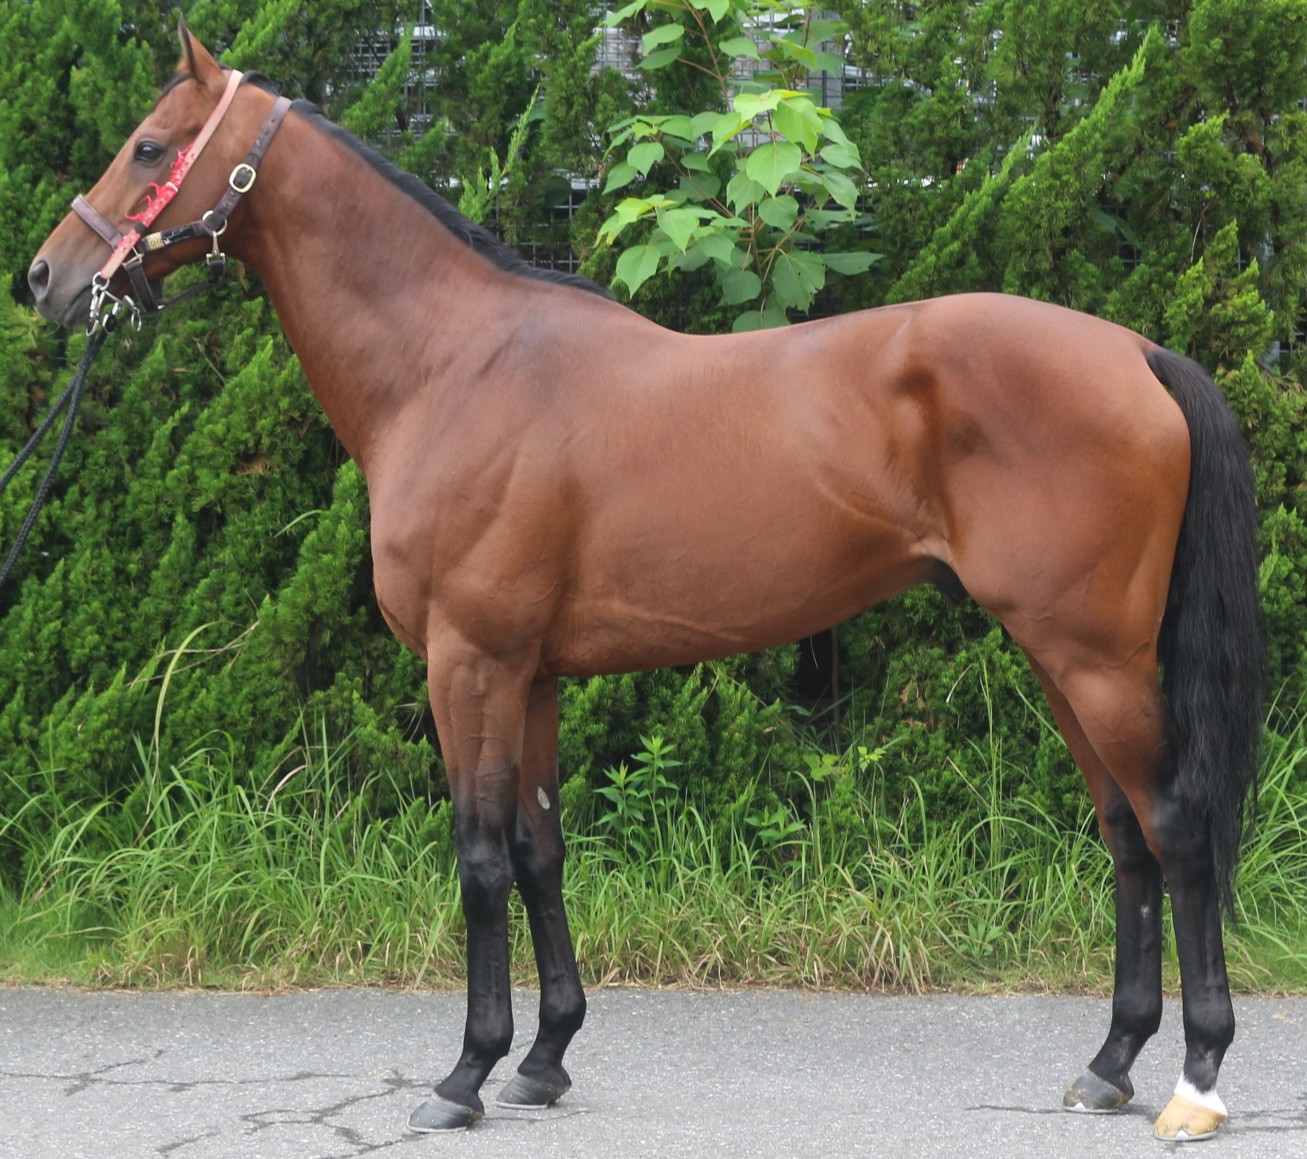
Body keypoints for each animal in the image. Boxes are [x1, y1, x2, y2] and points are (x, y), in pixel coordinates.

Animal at [28, 20, 1262, 1142]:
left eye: (148, 146)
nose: (48, 276)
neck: (452, 365)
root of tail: (1134, 353)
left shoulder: (468, 662)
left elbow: (479, 859)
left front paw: (464, 1075)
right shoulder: (529, 674)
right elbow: (539, 851)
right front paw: (543, 1059)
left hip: (1092, 656)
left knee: (1175, 825)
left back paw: (1195, 1080)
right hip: (1060, 655)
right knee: (1123, 831)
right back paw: (1107, 1063)